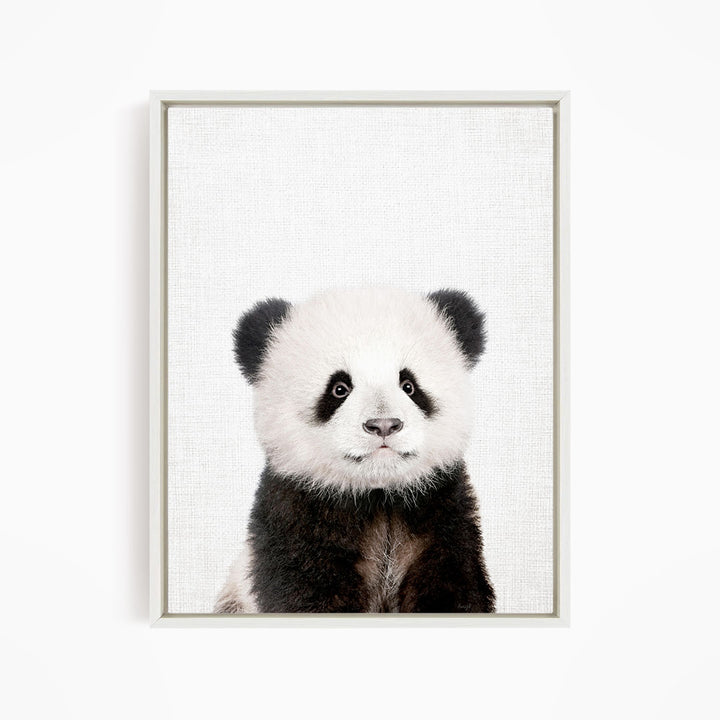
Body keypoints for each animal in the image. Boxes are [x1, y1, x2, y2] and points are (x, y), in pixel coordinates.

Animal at [215, 287, 495, 613]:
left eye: (409, 385)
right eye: (339, 388)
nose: (384, 425)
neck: (379, 495)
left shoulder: (441, 509)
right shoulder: (297, 512)